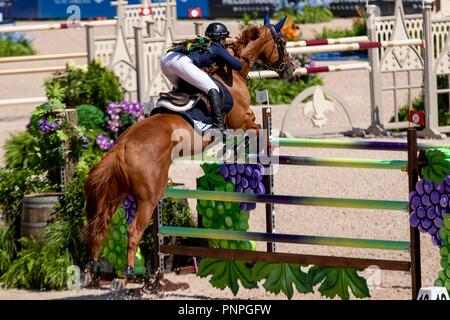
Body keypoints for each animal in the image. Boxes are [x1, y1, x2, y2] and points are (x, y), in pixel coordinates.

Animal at [83, 16, 296, 276]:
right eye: (282, 42)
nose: (291, 69)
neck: (231, 74)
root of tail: (120, 147)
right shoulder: (240, 121)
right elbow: (258, 130)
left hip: (116, 191)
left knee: (100, 226)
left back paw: (93, 267)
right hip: (149, 197)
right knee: (133, 232)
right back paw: (131, 272)